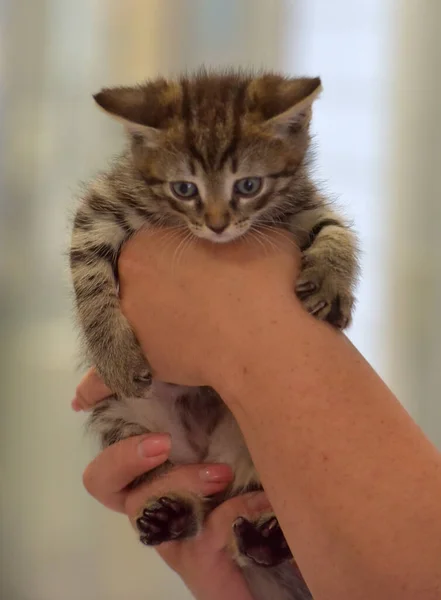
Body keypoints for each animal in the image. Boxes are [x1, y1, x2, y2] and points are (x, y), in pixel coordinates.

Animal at [69, 71, 358, 600]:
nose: (218, 225)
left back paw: (267, 541)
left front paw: (332, 279)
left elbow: (336, 230)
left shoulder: (301, 202)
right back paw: (173, 514)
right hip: (131, 422)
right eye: (185, 188)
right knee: (185, 494)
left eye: (249, 185)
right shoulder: (102, 205)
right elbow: (87, 273)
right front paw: (114, 353)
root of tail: (212, 456)